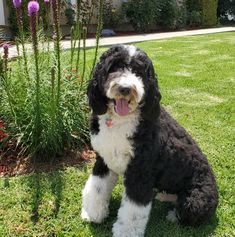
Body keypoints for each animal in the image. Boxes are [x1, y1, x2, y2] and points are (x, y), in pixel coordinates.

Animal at [81, 45, 218, 237]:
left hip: (196, 201)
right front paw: (93, 213)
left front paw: (125, 232)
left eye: (139, 72)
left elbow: (132, 210)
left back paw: (173, 214)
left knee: (188, 214)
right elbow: (97, 187)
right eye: (114, 67)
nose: (125, 88)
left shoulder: (140, 173)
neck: (120, 121)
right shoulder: (104, 160)